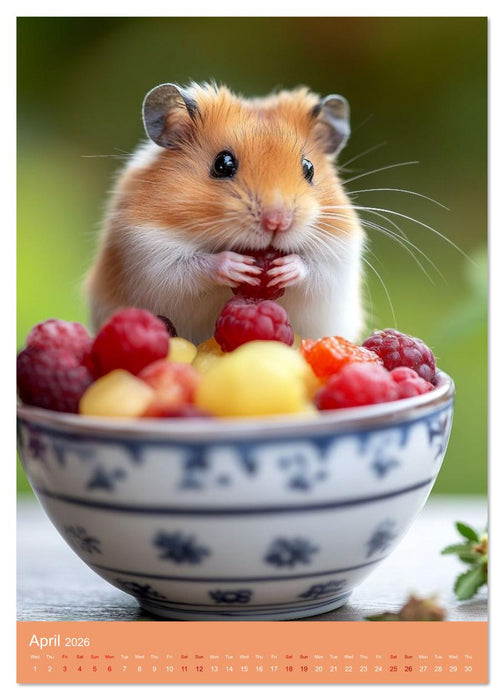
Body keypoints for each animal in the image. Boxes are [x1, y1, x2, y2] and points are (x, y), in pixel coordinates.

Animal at [85, 82, 365, 345]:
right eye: (223, 164)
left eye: (309, 168)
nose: (277, 222)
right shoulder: (148, 253)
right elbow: (187, 267)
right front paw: (237, 266)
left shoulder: (338, 257)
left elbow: (316, 269)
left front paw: (283, 269)